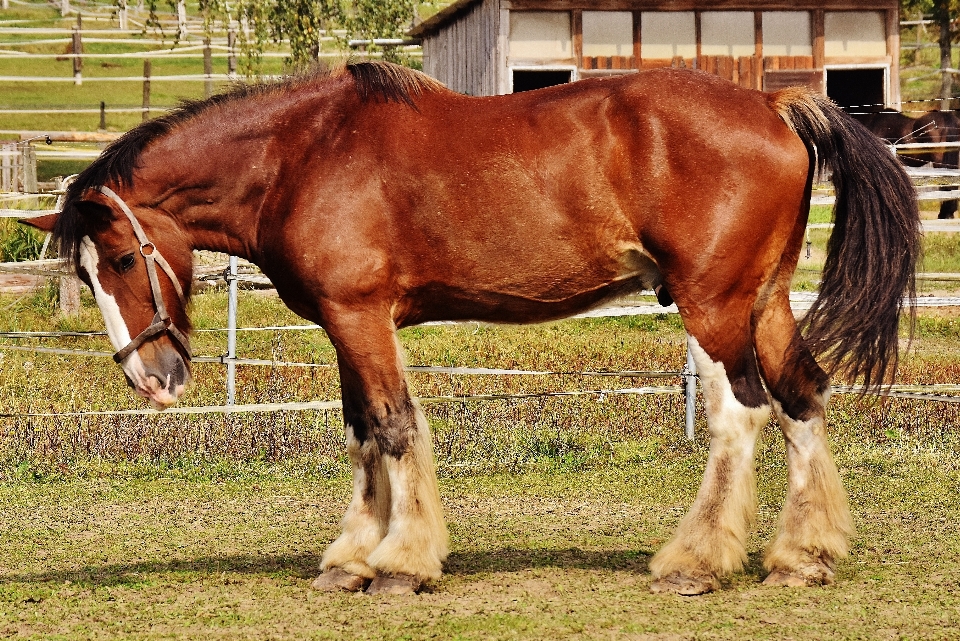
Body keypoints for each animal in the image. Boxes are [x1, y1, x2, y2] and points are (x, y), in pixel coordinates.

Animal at [24, 61, 924, 596]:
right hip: (763, 299)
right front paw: (352, 558)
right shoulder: (349, 323)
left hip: (713, 305)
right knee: (802, 396)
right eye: (85, 274)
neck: (301, 156)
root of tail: (773, 101)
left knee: (741, 413)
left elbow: (392, 427)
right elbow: (362, 431)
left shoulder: (360, 316)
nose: (150, 379)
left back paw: (696, 561)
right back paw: (801, 555)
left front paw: (398, 564)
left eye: (122, 257)